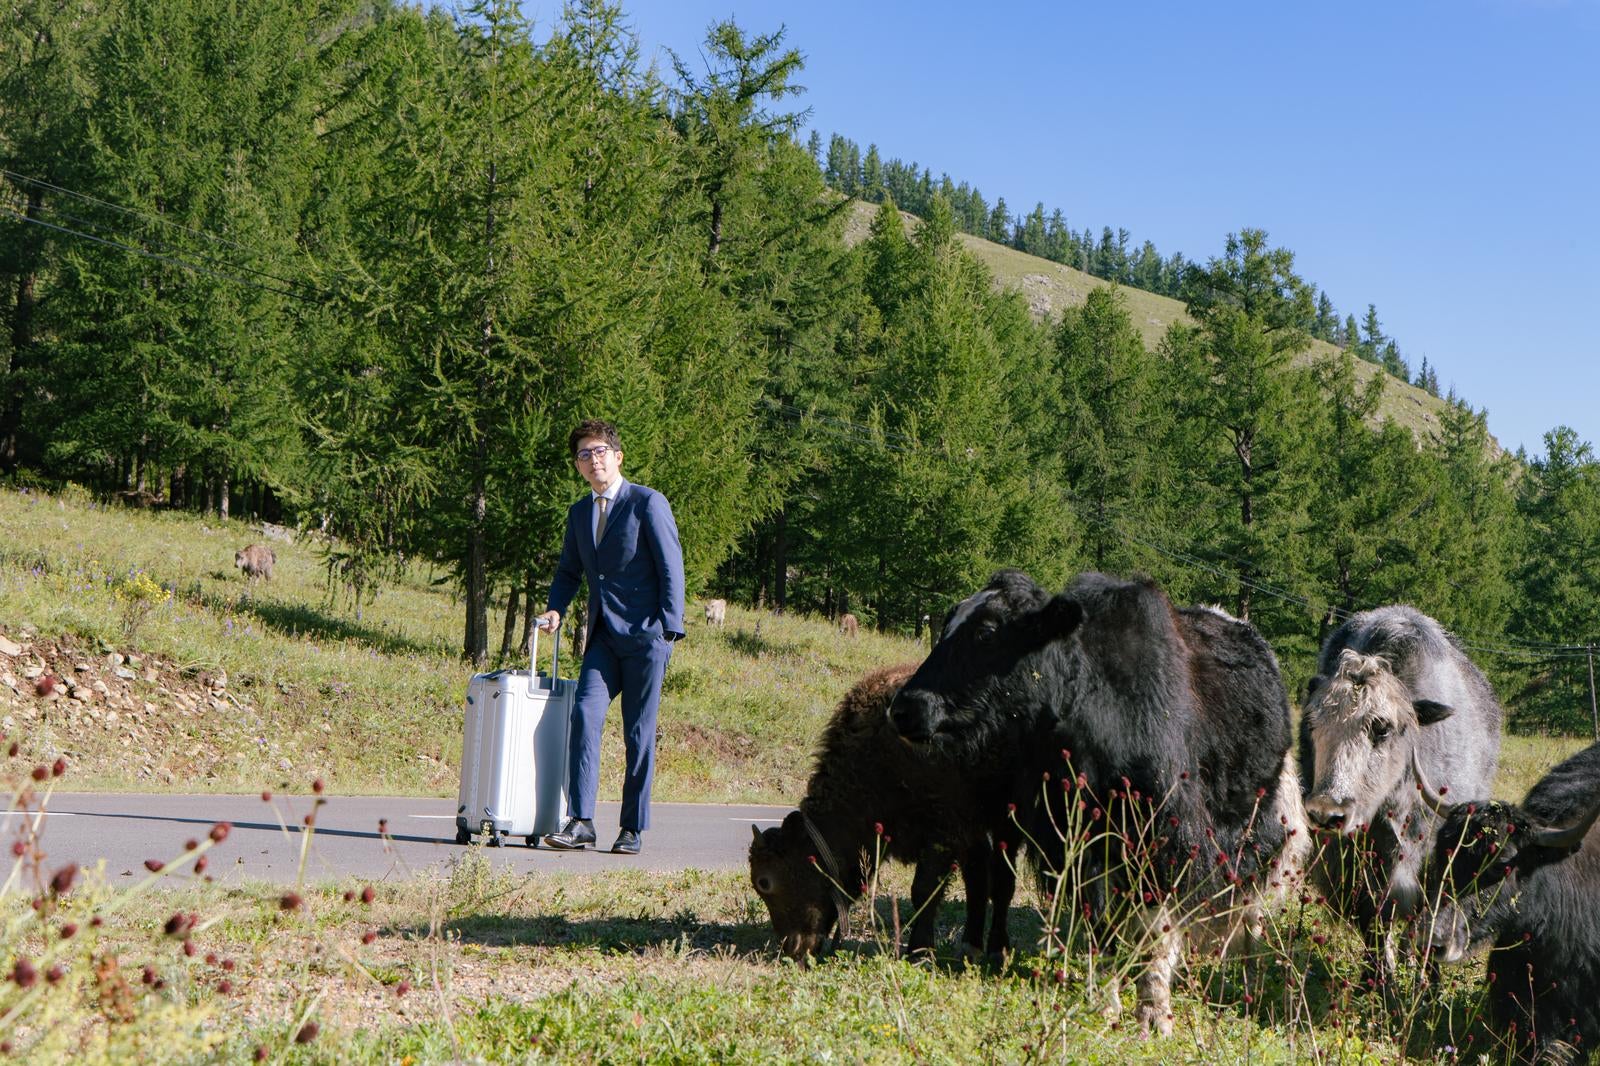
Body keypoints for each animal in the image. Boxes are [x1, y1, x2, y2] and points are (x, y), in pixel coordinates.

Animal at [745, 659, 1011, 960]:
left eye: (765, 882)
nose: (792, 948)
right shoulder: (968, 831)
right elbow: (976, 876)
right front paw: (967, 946)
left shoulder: (946, 830)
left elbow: (925, 890)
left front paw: (919, 951)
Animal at [889, 569, 1312, 1030]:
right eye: (947, 623)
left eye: (986, 631)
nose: (904, 708)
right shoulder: (1077, 847)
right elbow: (1100, 924)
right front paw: (1105, 1000)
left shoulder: (1165, 841)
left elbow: (1156, 930)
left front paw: (1153, 1012)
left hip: (1270, 835)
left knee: (1252, 913)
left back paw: (1248, 982)